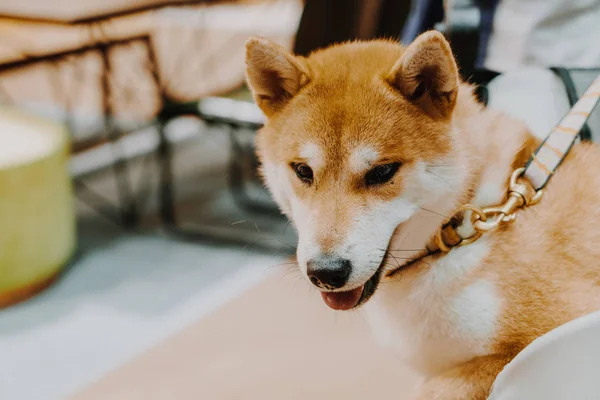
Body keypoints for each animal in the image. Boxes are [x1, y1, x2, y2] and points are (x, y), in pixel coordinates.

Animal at [246, 32, 600, 400]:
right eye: (303, 170)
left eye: (382, 171)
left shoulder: (553, 337)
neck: (459, 230)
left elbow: (436, 386)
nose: (326, 272)